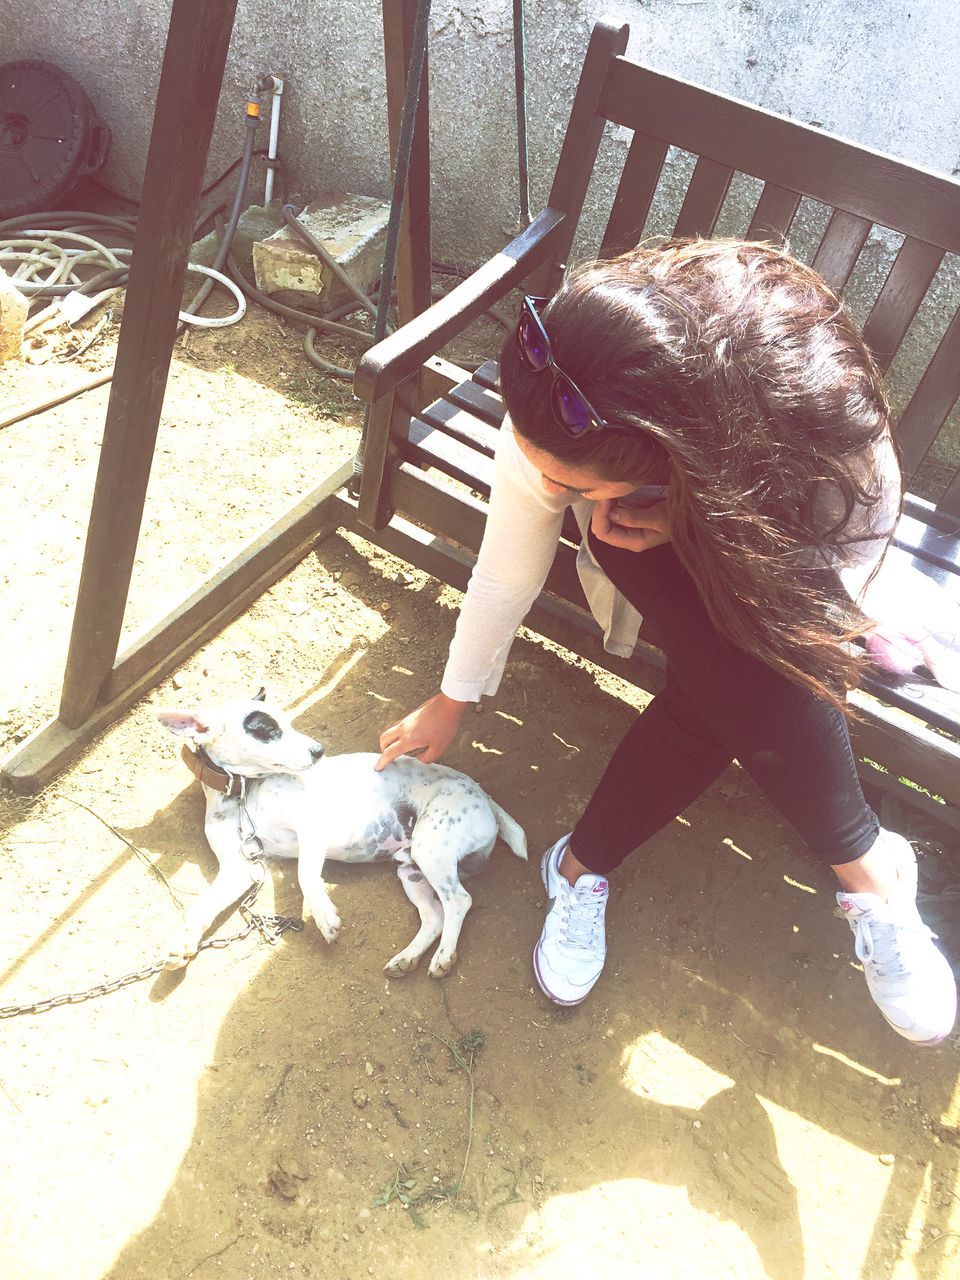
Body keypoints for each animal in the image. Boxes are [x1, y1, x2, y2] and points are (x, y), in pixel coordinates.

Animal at [160, 691, 529, 977]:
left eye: (290, 723)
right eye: (267, 730)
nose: (318, 751)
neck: (243, 795)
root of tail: (481, 792)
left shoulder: (311, 828)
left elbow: (306, 877)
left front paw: (324, 917)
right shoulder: (240, 868)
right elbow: (203, 906)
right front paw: (183, 941)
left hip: (431, 851)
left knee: (459, 901)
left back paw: (443, 957)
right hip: (411, 870)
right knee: (434, 917)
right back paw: (407, 958)